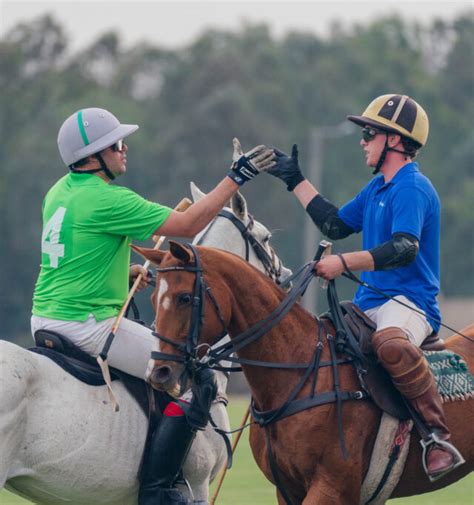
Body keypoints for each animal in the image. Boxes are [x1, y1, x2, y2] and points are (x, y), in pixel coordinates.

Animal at [134, 242, 474, 502]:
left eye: (184, 298)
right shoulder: (287, 490)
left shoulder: (332, 487)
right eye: (152, 297)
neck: (297, 370)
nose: (158, 372)